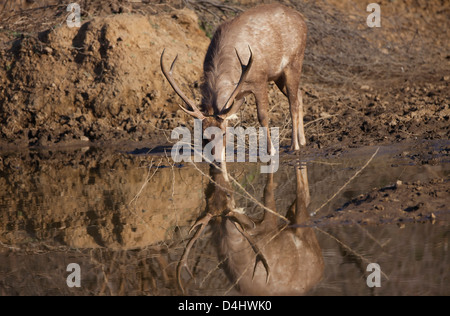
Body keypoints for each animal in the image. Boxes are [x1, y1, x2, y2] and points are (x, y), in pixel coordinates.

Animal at [162, 3, 310, 154]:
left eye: (223, 133)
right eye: (204, 137)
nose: (216, 157)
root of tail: (301, 18)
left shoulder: (260, 80)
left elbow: (262, 116)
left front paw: (271, 150)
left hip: (294, 62)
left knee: (293, 103)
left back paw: (294, 145)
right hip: (278, 76)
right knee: (299, 94)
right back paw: (302, 140)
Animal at [177, 164, 324, 296]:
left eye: (228, 194)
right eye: (207, 195)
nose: (214, 171)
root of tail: (320, 269)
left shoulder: (266, 225)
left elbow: (267, 189)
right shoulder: (266, 225)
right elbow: (268, 190)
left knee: (302, 195)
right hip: (300, 226)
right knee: (303, 195)